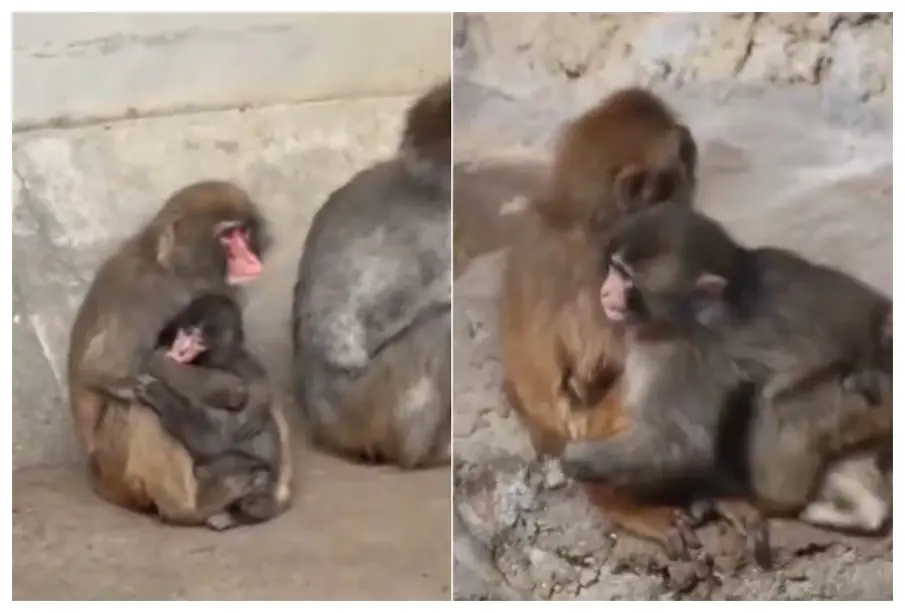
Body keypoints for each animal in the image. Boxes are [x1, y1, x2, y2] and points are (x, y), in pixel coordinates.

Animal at [134, 293, 293, 526]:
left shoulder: (239, 371)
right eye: (187, 331)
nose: (183, 342)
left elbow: (211, 440)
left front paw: (159, 390)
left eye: (200, 339)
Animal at [558, 204, 892, 565]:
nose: (605, 291)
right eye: (613, 270)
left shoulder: (676, 350)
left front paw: (578, 459)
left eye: (625, 278)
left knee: (780, 404)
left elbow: (681, 445)